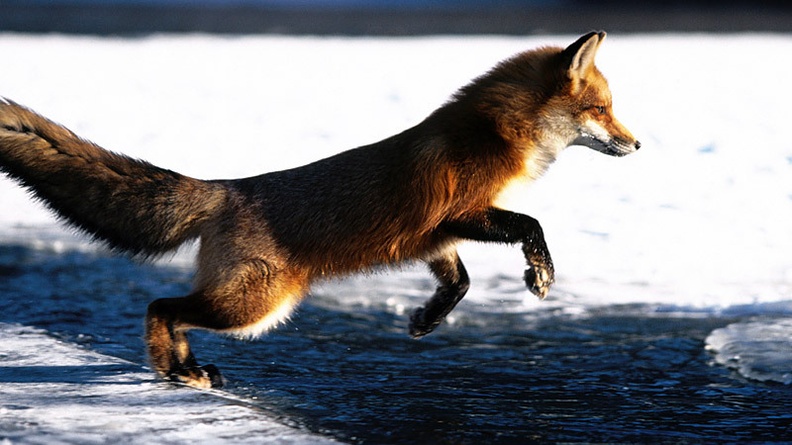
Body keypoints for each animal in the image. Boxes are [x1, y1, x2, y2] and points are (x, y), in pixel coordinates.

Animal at [0, 31, 639, 389]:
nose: (638, 145)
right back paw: (177, 367)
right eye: (602, 109)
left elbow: (458, 283)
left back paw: (183, 366)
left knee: (171, 309)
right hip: (255, 306)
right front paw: (541, 273)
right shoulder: (455, 213)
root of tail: (228, 187)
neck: (497, 133)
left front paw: (426, 320)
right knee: (162, 305)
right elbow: (530, 226)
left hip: (250, 306)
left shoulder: (434, 239)